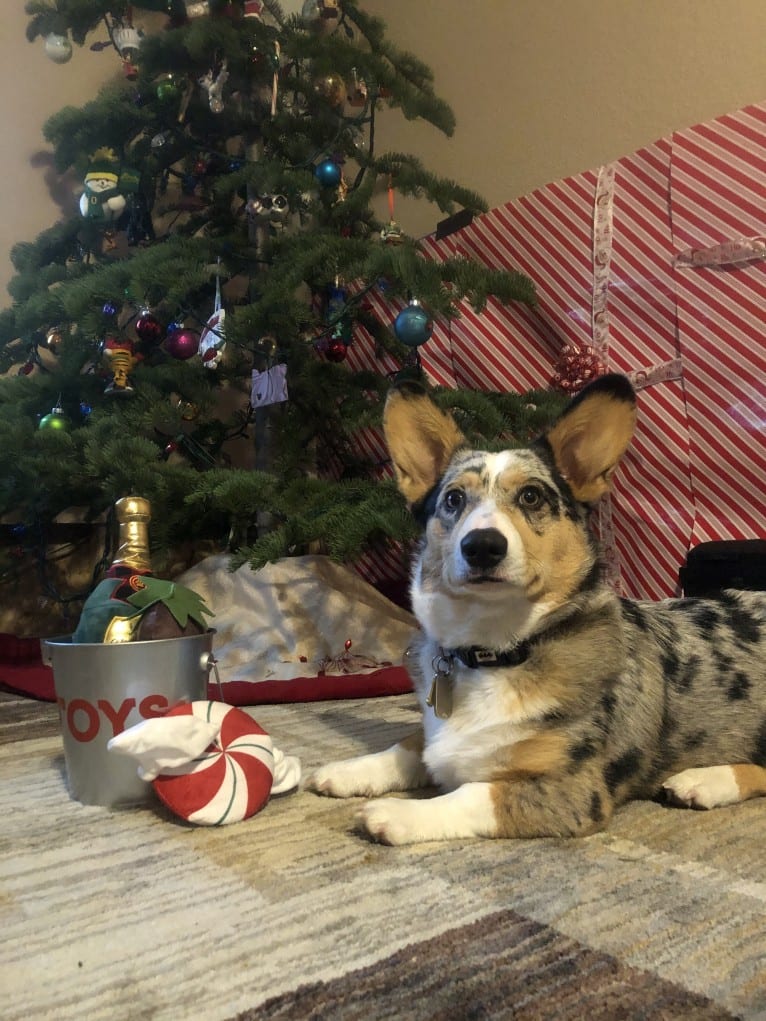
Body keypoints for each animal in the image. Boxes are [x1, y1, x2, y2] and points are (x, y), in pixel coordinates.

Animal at [306, 375, 766, 845]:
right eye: (453, 499)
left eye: (531, 496)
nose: (482, 546)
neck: (493, 650)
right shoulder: (435, 732)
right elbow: (412, 744)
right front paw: (347, 771)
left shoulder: (572, 791)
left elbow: (475, 793)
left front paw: (397, 813)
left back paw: (706, 781)